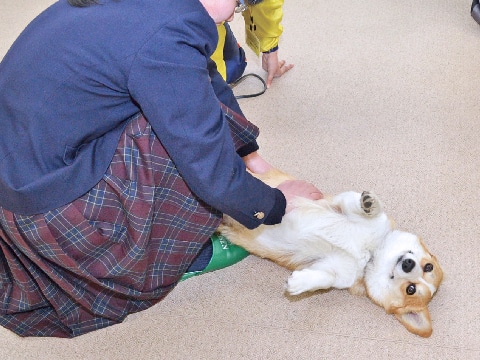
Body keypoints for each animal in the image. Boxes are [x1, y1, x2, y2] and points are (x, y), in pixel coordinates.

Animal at [218, 169, 442, 338]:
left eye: (411, 289)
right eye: (428, 266)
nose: (408, 263)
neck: (370, 254)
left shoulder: (330, 267)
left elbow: (324, 278)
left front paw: (299, 283)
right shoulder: (340, 203)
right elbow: (362, 207)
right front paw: (370, 204)